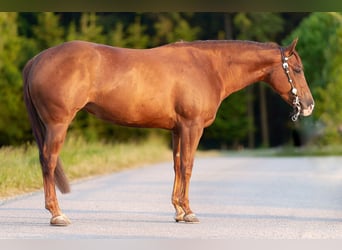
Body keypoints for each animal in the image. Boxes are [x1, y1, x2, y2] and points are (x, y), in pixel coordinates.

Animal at [22, 38, 314, 226]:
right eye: (297, 69)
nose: (309, 105)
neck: (209, 67)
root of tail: (37, 59)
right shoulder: (192, 126)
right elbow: (188, 166)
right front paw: (189, 211)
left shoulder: (177, 129)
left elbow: (176, 166)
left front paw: (178, 211)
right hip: (58, 124)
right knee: (48, 162)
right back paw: (57, 214)